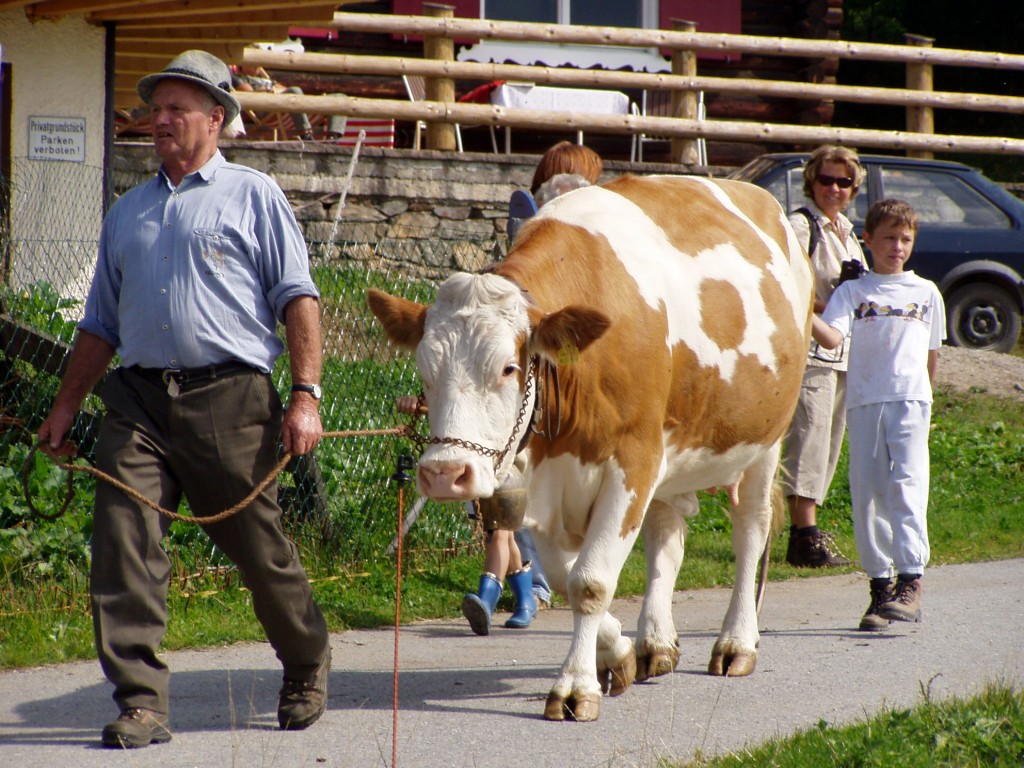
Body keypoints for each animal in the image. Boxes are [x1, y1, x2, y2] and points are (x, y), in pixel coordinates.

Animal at [366, 174, 806, 720]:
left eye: (509, 368)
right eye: (425, 371)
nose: (445, 474)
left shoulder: (633, 463)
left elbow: (591, 581)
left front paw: (576, 686)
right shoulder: (547, 485)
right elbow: (565, 573)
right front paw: (616, 655)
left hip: (764, 441)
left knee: (751, 531)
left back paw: (736, 643)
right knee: (666, 537)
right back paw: (655, 644)